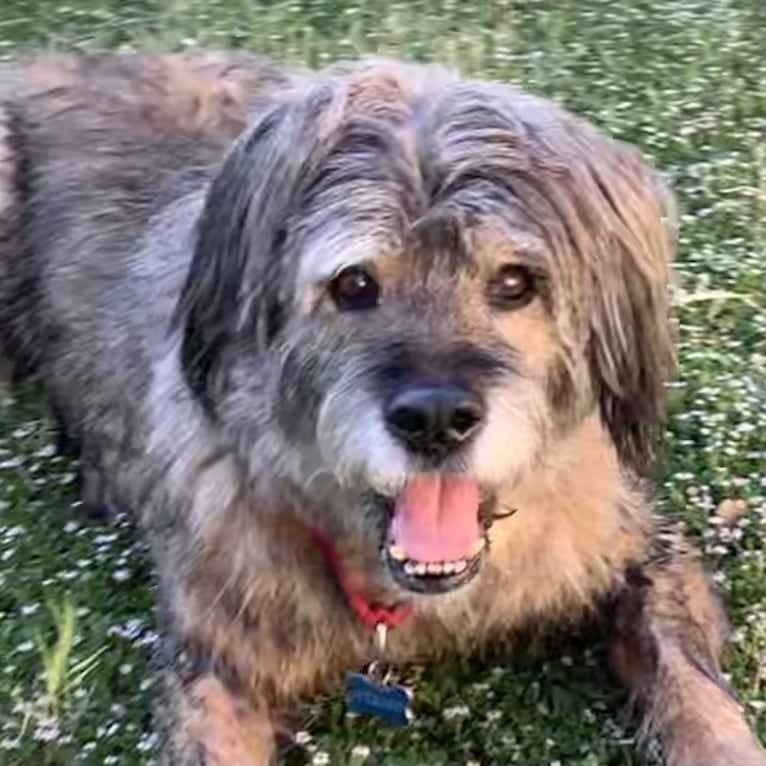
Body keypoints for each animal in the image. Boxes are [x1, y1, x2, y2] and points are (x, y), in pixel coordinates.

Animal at [0, 51, 764, 764]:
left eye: (516, 282)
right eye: (354, 284)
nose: (435, 420)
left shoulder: (637, 549)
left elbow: (685, 677)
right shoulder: (215, 658)